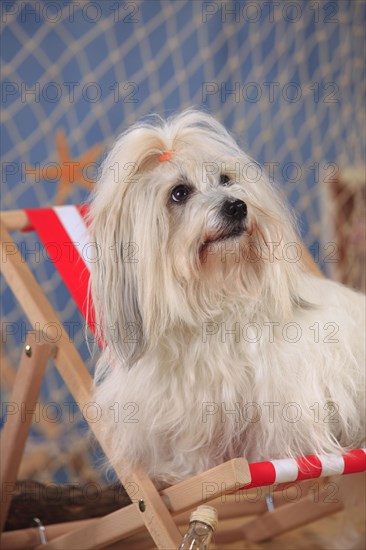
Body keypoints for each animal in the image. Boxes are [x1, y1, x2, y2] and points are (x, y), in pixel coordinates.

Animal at [87, 111, 364, 488]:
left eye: (226, 179)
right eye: (179, 193)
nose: (236, 206)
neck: (216, 310)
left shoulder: (280, 399)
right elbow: (192, 452)